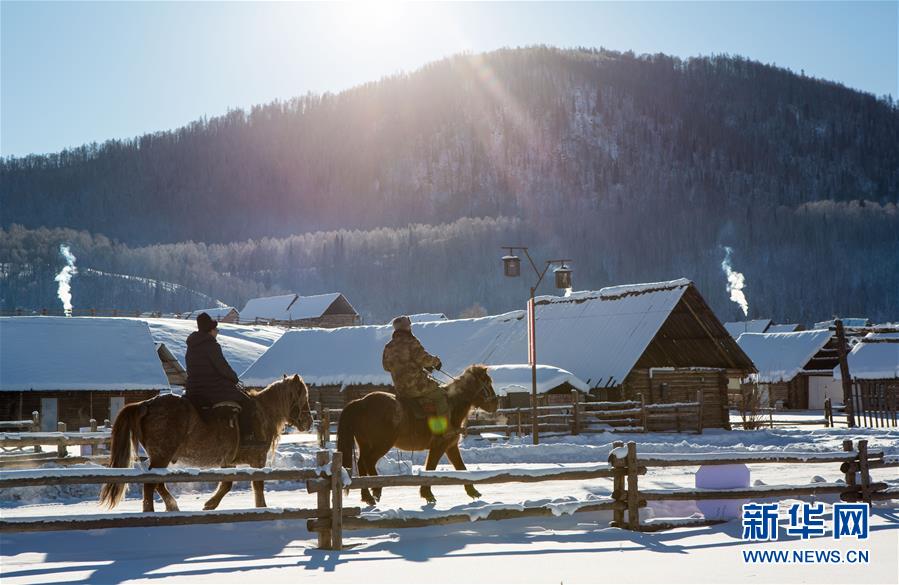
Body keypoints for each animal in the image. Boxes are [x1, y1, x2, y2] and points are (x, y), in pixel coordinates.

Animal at [99, 374, 312, 512]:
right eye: (304, 396)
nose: (308, 421)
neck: (262, 413)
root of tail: (146, 404)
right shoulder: (257, 460)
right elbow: (257, 485)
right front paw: (261, 508)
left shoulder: (229, 462)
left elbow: (227, 484)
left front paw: (210, 504)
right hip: (161, 455)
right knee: (151, 484)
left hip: (160, 457)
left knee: (157, 483)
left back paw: (170, 506)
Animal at [336, 362, 496, 504]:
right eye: (487, 382)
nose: (496, 403)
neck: (452, 405)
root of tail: (361, 402)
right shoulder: (439, 446)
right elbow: (431, 467)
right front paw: (427, 494)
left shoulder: (450, 446)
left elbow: (461, 468)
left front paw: (472, 491)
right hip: (382, 444)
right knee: (368, 461)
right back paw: (376, 490)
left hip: (365, 444)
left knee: (361, 464)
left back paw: (367, 496)